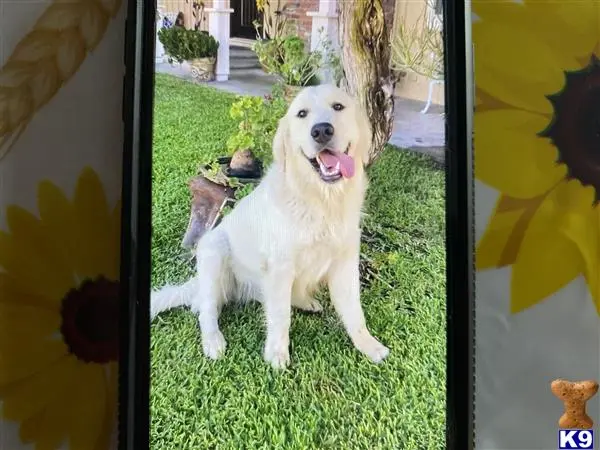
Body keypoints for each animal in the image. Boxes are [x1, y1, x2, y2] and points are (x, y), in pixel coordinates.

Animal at [152, 84, 392, 370]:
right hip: (213, 250)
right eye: (302, 113)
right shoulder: (280, 265)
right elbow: (280, 315)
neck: (320, 198)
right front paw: (277, 354)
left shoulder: (345, 263)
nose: (321, 131)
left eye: (338, 107)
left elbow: (355, 313)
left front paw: (369, 346)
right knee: (207, 310)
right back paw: (213, 342)